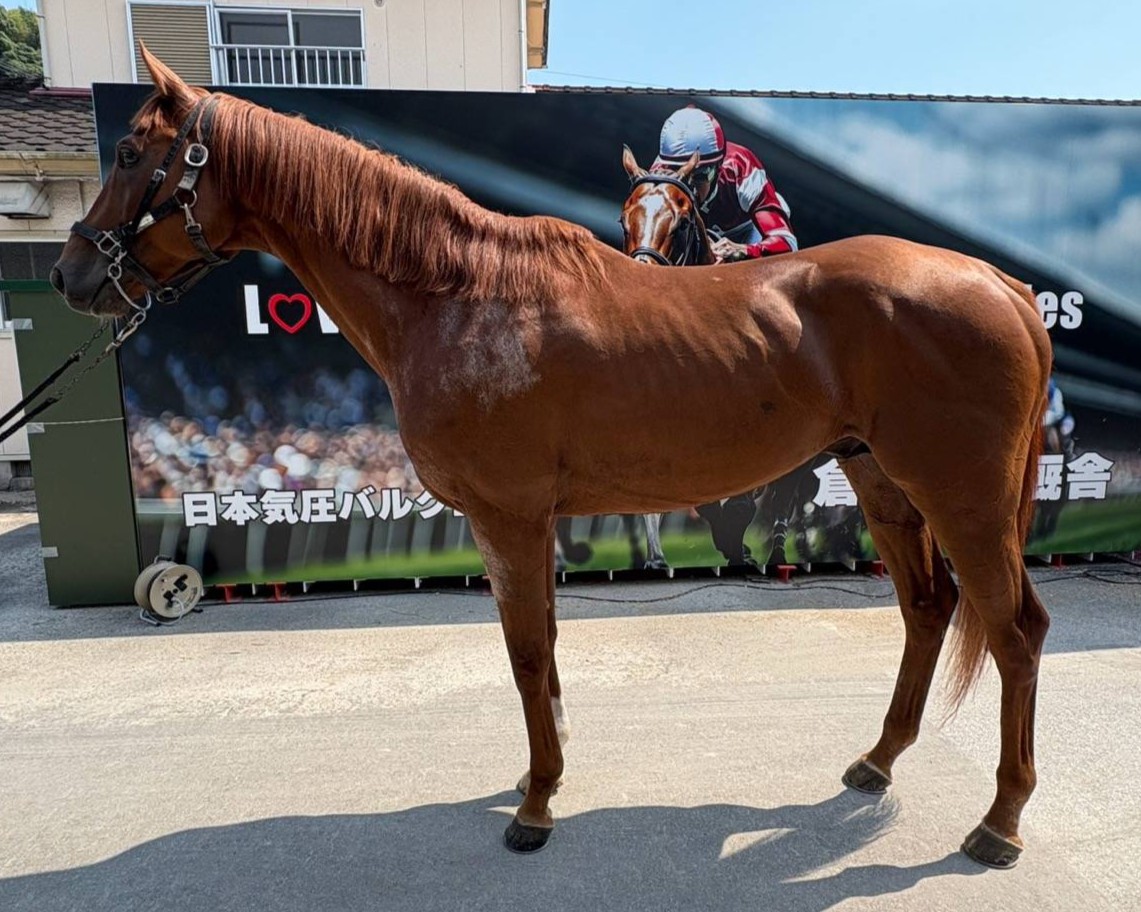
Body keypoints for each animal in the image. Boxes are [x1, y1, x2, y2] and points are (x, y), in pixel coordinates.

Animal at [52, 49, 1052, 868]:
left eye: (133, 153)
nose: (70, 276)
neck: (456, 297)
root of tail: (996, 281)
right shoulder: (530, 521)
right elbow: (547, 648)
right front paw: (550, 770)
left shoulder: (507, 515)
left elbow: (527, 653)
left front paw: (533, 805)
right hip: (883, 481)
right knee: (926, 612)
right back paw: (876, 761)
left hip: (961, 497)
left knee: (1013, 632)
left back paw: (999, 823)